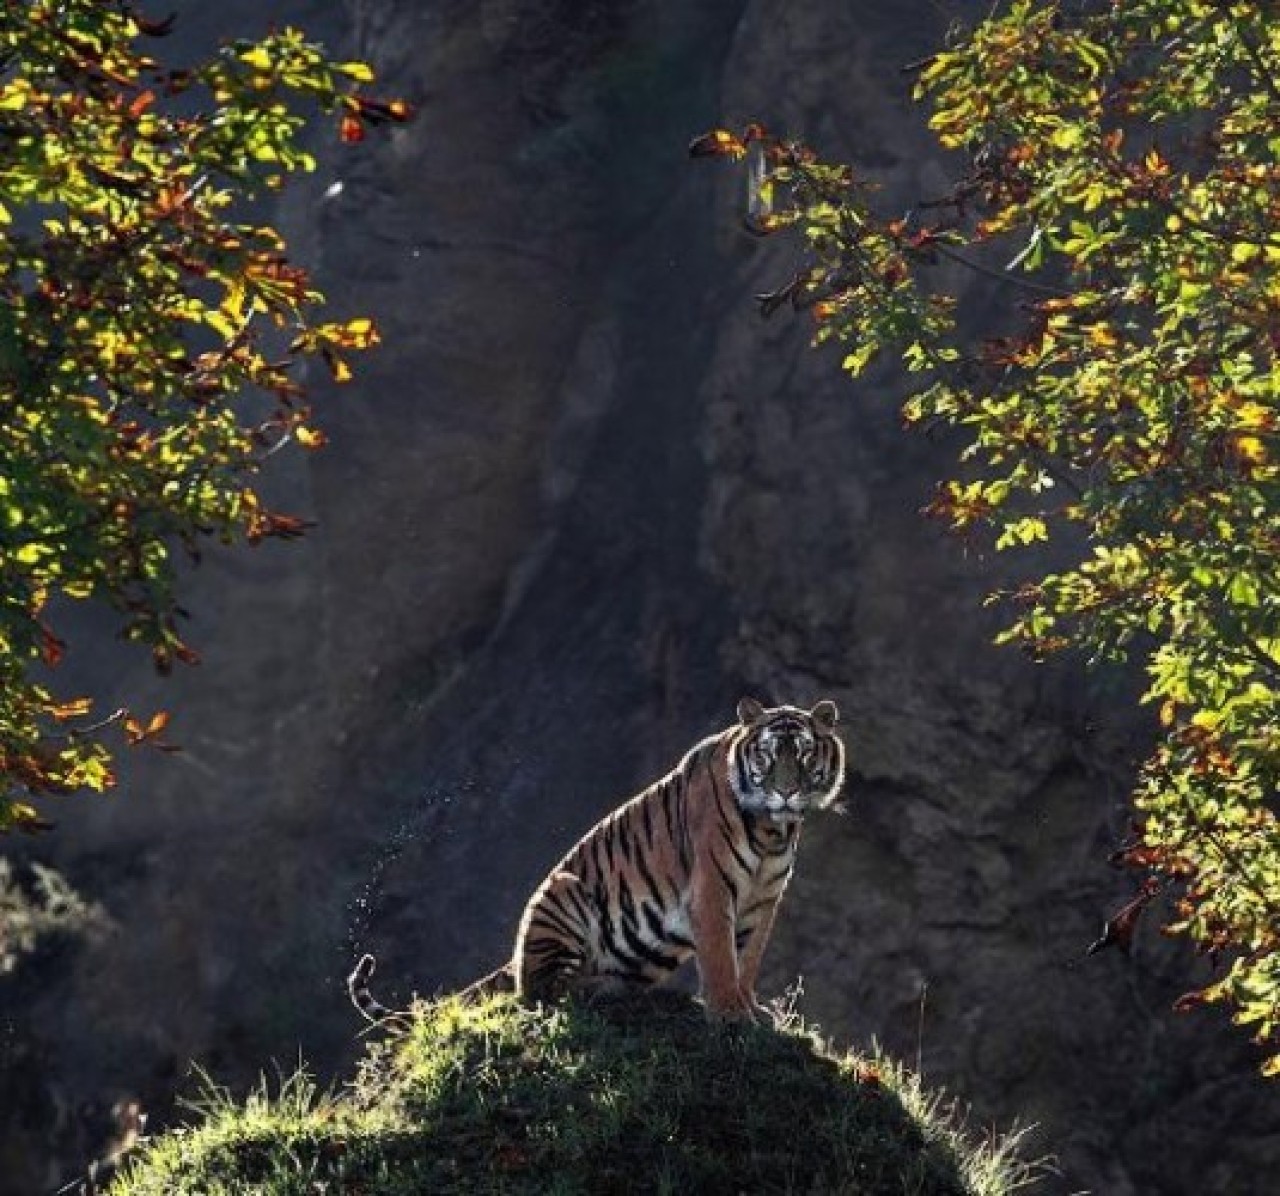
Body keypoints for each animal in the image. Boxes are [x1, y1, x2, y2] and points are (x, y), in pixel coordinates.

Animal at [350, 701, 849, 1029]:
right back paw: (598, 989)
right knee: (543, 989)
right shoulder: (712, 890)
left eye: (805, 753)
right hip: (562, 893)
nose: (785, 792)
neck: (773, 830)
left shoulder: (763, 900)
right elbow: (721, 958)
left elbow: (747, 958)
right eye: (767, 754)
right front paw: (730, 1014)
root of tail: (514, 957)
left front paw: (753, 1009)